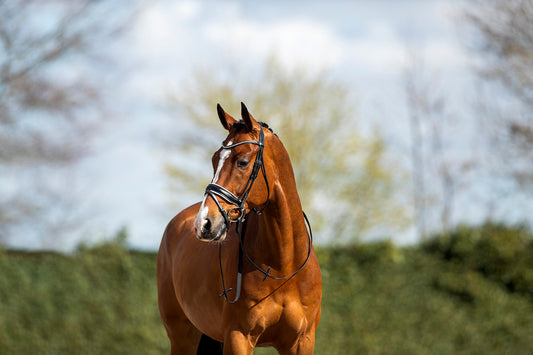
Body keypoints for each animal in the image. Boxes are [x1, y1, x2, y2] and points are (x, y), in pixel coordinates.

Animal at [156, 101, 322, 354]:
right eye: (214, 159)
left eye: (242, 162)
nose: (204, 223)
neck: (283, 266)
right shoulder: (238, 337)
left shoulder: (301, 341)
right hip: (182, 337)